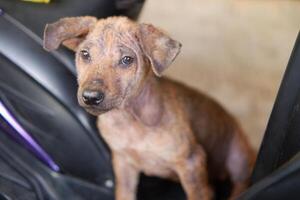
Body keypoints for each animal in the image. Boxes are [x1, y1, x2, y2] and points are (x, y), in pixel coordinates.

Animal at [44, 16, 255, 200]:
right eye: (85, 54)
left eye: (127, 60)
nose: (91, 97)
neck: (130, 118)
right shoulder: (123, 163)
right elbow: (124, 195)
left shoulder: (192, 162)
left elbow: (198, 194)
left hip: (238, 158)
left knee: (241, 182)